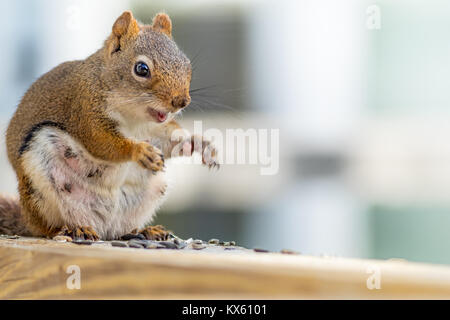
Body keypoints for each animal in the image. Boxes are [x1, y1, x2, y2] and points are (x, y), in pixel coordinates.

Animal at [0, 11, 218, 241]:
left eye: (187, 64)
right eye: (142, 69)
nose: (181, 101)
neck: (134, 118)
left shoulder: (155, 130)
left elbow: (170, 142)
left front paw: (199, 143)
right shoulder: (85, 110)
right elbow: (102, 143)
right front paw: (139, 151)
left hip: (150, 192)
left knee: (120, 229)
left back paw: (144, 231)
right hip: (40, 178)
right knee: (46, 227)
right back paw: (71, 229)